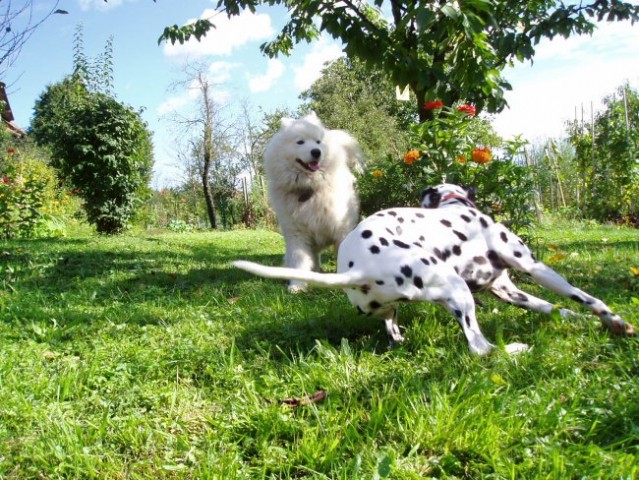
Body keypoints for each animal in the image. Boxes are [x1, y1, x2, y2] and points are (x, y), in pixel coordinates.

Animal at [232, 184, 632, 356]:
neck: (455, 207)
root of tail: (356, 269)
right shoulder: (532, 267)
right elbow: (584, 297)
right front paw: (614, 321)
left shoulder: (510, 290)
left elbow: (556, 308)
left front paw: (577, 321)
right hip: (459, 291)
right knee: (480, 348)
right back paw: (514, 349)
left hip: (401, 308)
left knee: (393, 330)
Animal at [262, 112, 362, 292]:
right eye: (300, 142)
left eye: (318, 142)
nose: (316, 152)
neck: (309, 188)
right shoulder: (297, 234)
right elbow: (299, 261)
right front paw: (297, 286)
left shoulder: (341, 230)